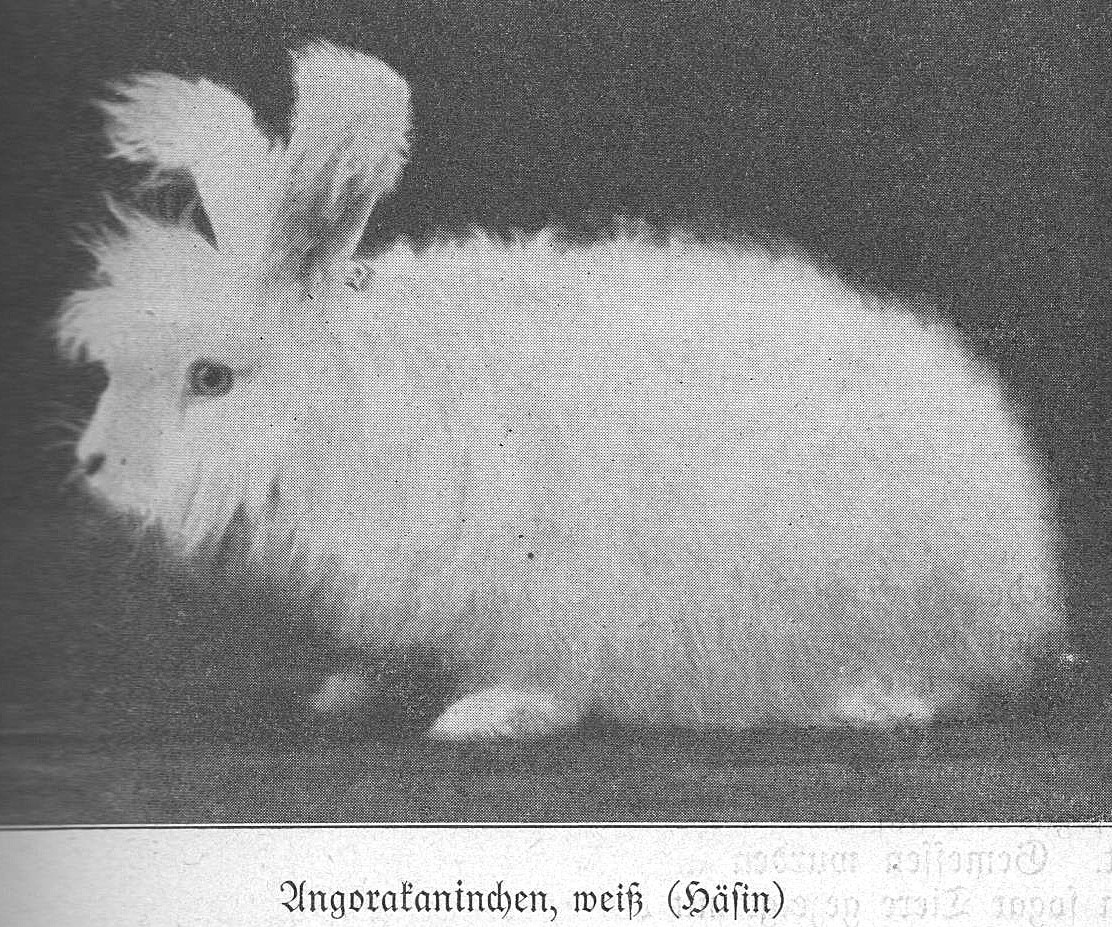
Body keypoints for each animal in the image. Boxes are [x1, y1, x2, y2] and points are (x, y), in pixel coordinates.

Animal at [58, 41, 1063, 741]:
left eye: (210, 378)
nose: (94, 465)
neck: (360, 407)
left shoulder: (559, 584)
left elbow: (552, 663)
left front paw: (485, 716)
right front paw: (352, 691)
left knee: (937, 675)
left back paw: (872, 702)